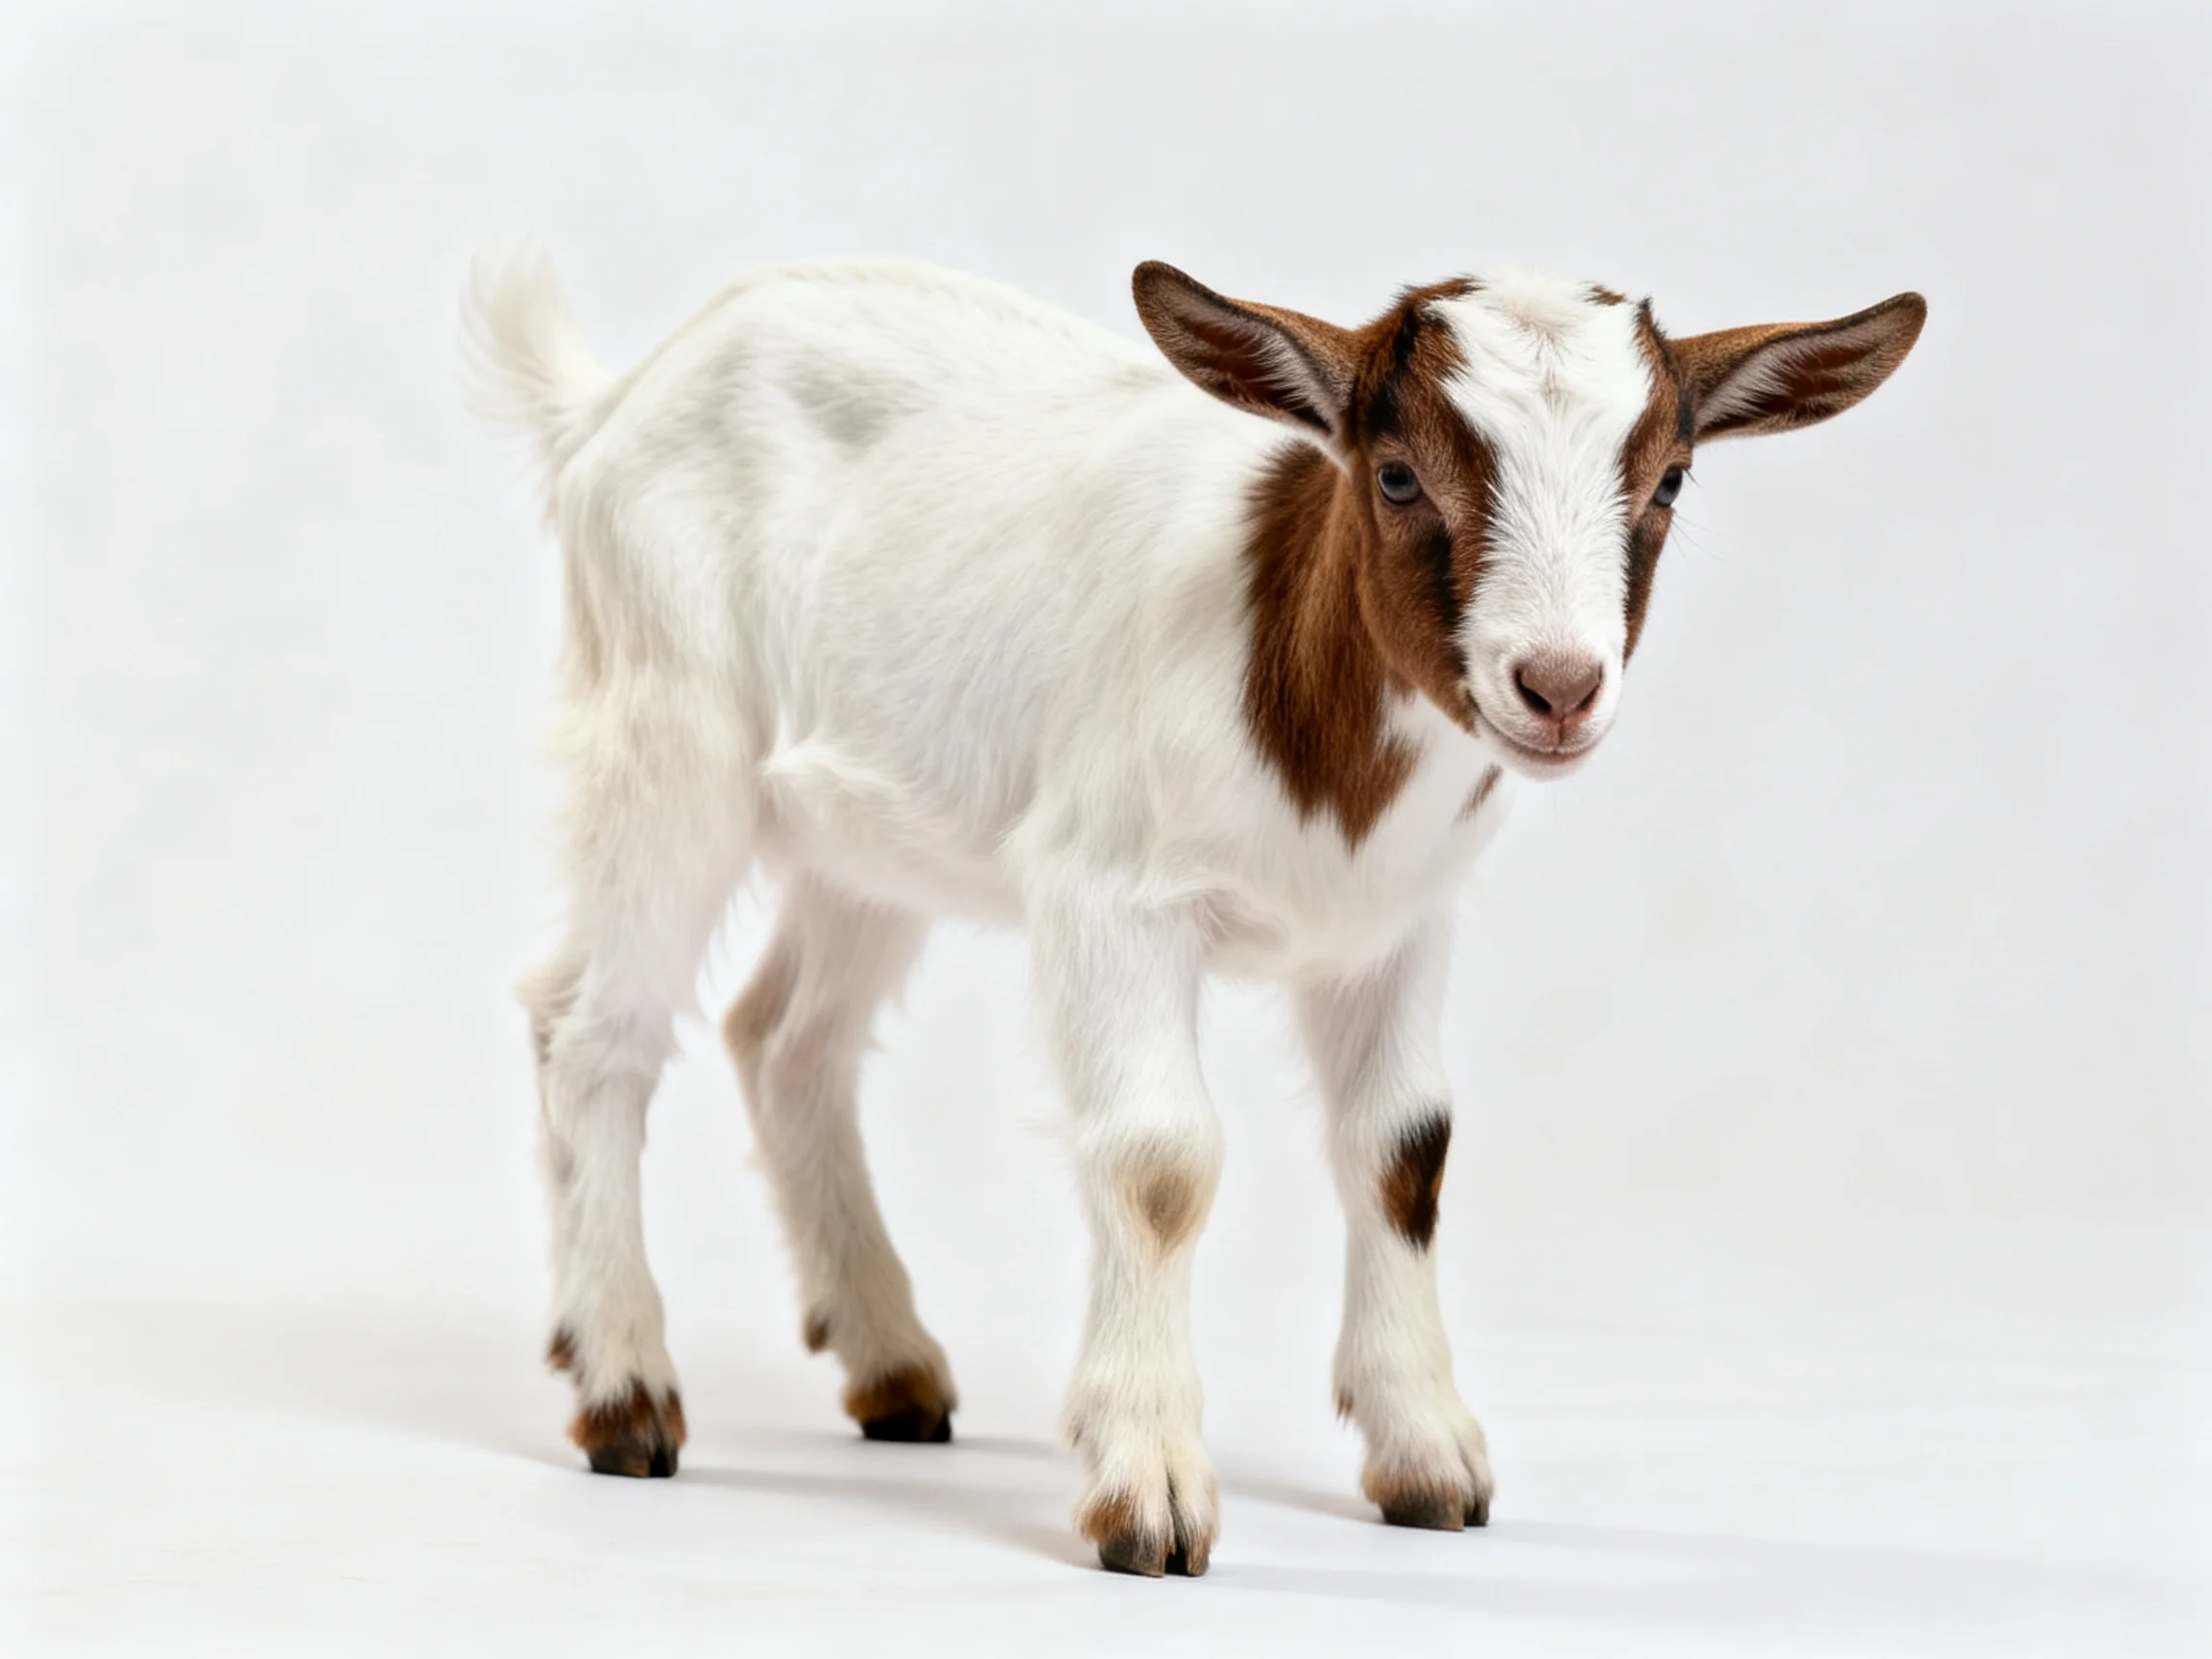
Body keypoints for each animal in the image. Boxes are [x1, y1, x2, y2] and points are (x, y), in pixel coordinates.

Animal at [466, 249, 1924, 1576]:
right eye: (1397, 474)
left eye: (1669, 481)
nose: (1558, 686)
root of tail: (615, 402)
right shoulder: (1108, 895)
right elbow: (1160, 1162)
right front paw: (1149, 1489)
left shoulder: (1401, 926)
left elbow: (1406, 1151)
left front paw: (1426, 1457)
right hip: (670, 737)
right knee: (590, 1029)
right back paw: (624, 1391)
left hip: (869, 824)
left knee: (786, 1037)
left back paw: (891, 1364)